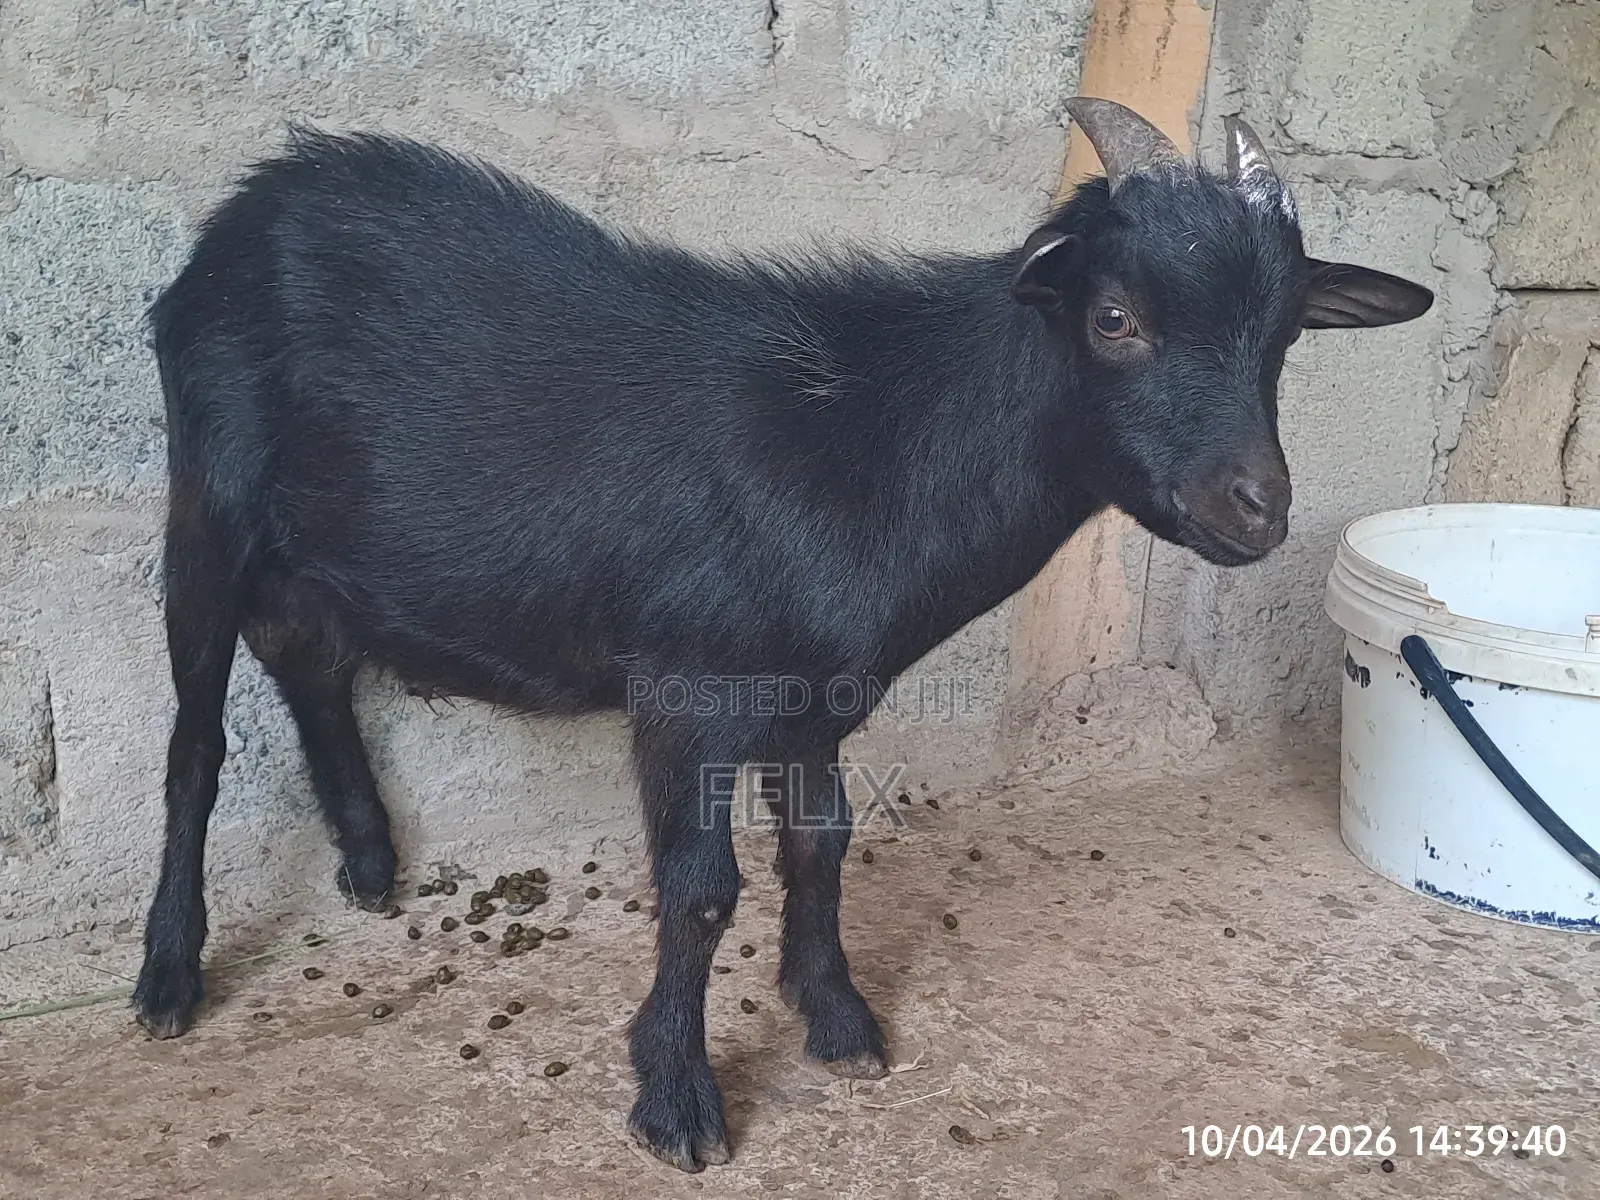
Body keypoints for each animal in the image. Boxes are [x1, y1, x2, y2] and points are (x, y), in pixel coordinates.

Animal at [132, 98, 1433, 1170]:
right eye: (1114, 318)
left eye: (1283, 338)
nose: (1255, 509)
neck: (865, 440)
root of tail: (264, 195)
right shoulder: (684, 690)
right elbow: (703, 890)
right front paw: (677, 1099)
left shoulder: (816, 693)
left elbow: (823, 843)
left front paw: (839, 1018)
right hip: (206, 501)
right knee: (196, 743)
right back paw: (168, 974)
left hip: (320, 544)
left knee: (307, 652)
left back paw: (365, 858)